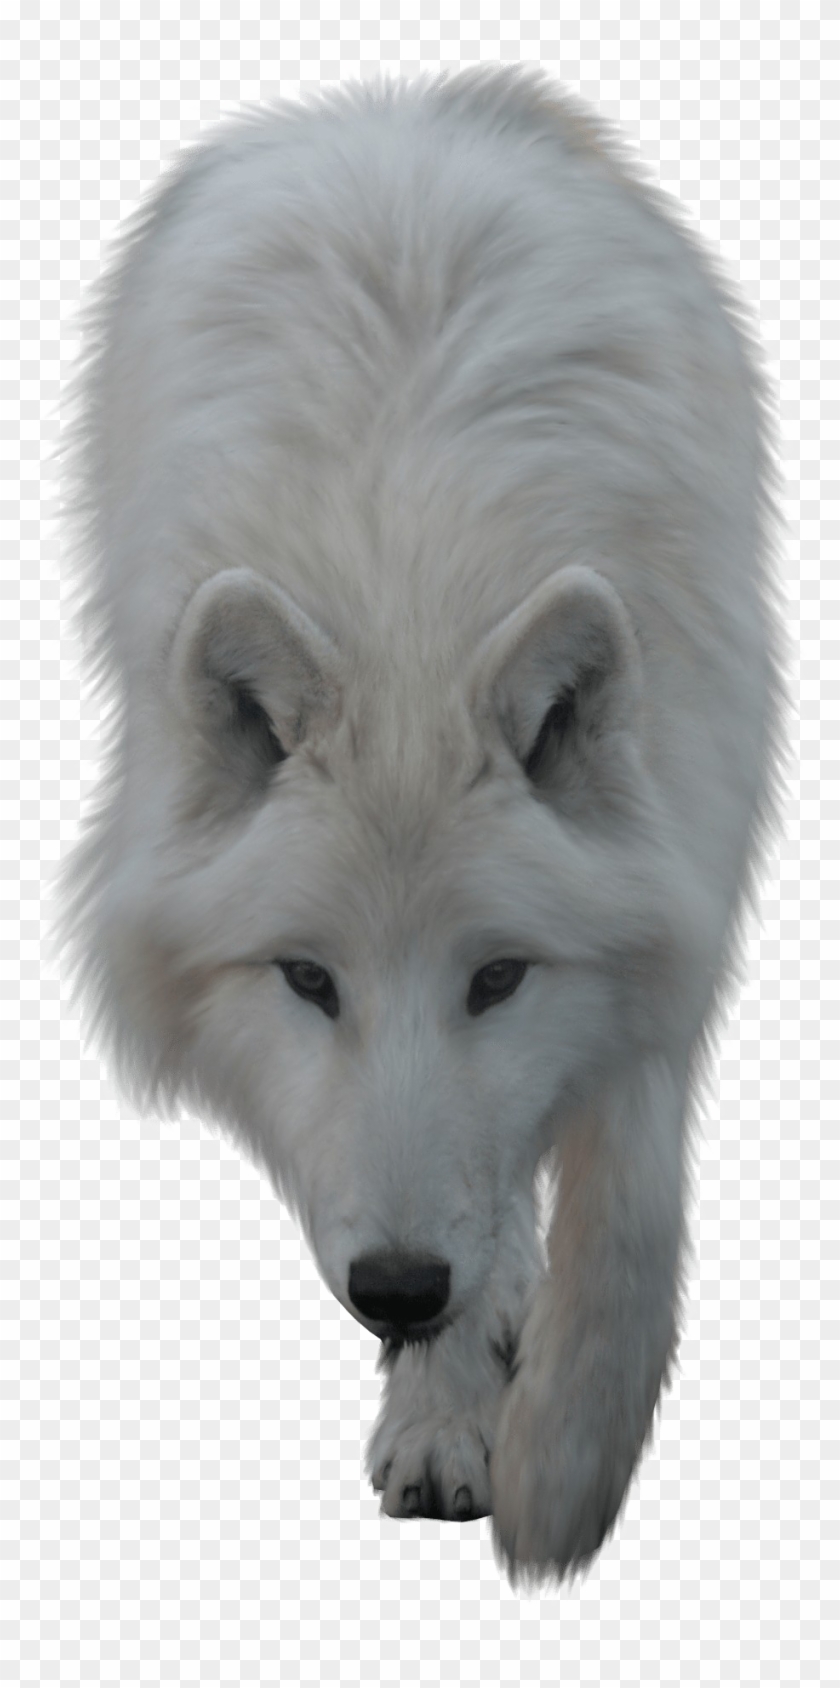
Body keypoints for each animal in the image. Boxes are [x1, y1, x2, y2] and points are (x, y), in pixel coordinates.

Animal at [62, 66, 780, 1582]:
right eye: (307, 978)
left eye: (498, 975)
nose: (396, 1291)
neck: (413, 601)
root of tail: (397, 103)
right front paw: (452, 1403)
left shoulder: (675, 884)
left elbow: (625, 1200)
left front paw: (562, 1470)